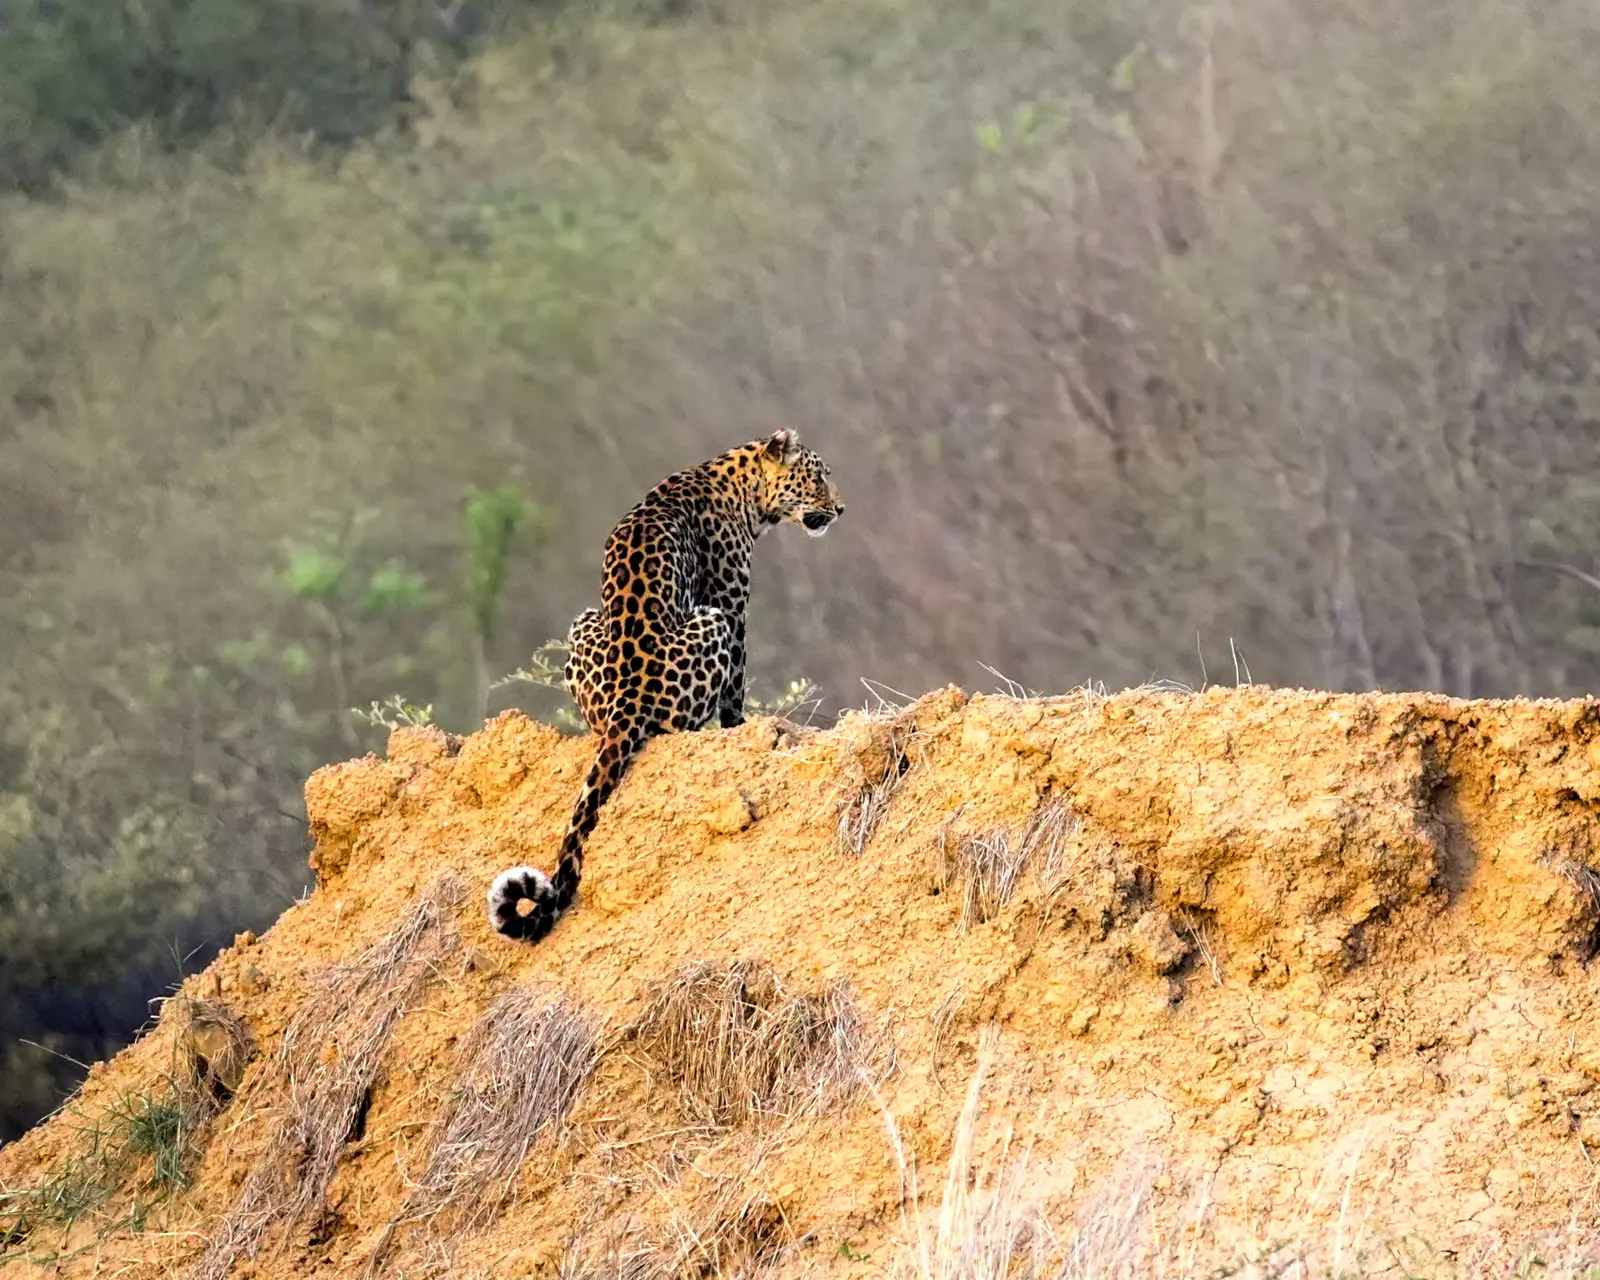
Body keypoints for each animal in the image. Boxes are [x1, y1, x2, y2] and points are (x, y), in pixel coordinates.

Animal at [487, 427, 844, 944]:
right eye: (817, 477)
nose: (842, 508)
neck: (740, 485)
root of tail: (629, 698)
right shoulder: (730, 604)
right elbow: (735, 693)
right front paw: (741, 730)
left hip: (584, 621)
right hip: (710, 621)